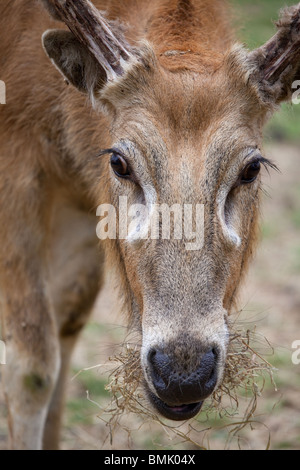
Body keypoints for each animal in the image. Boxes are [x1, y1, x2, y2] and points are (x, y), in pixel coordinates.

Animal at [0, 0, 300, 450]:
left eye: (251, 168)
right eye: (118, 162)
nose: (182, 372)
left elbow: (67, 328)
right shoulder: (15, 161)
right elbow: (32, 366)